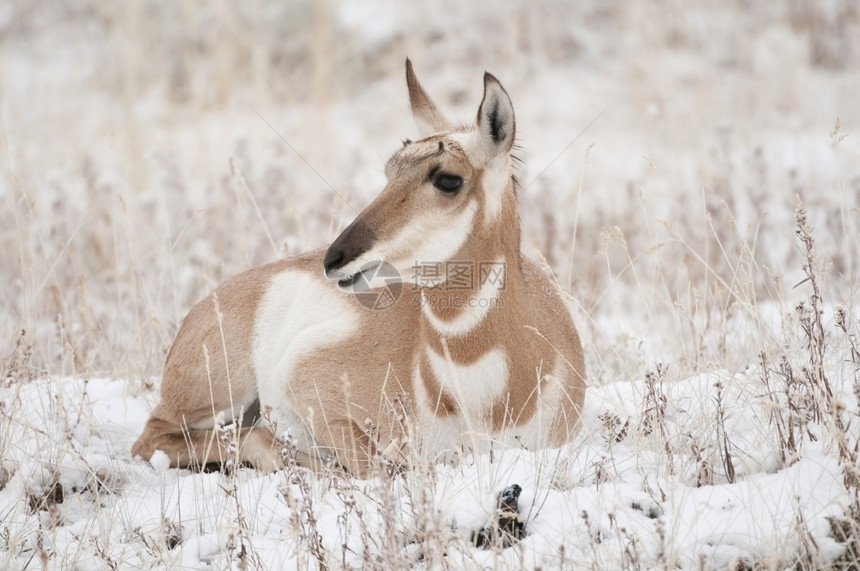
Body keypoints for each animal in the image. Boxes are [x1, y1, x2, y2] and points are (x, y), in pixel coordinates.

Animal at [131, 60, 588, 476]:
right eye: (389, 170)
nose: (335, 258)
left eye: (448, 179)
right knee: (157, 437)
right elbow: (377, 466)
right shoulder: (311, 389)